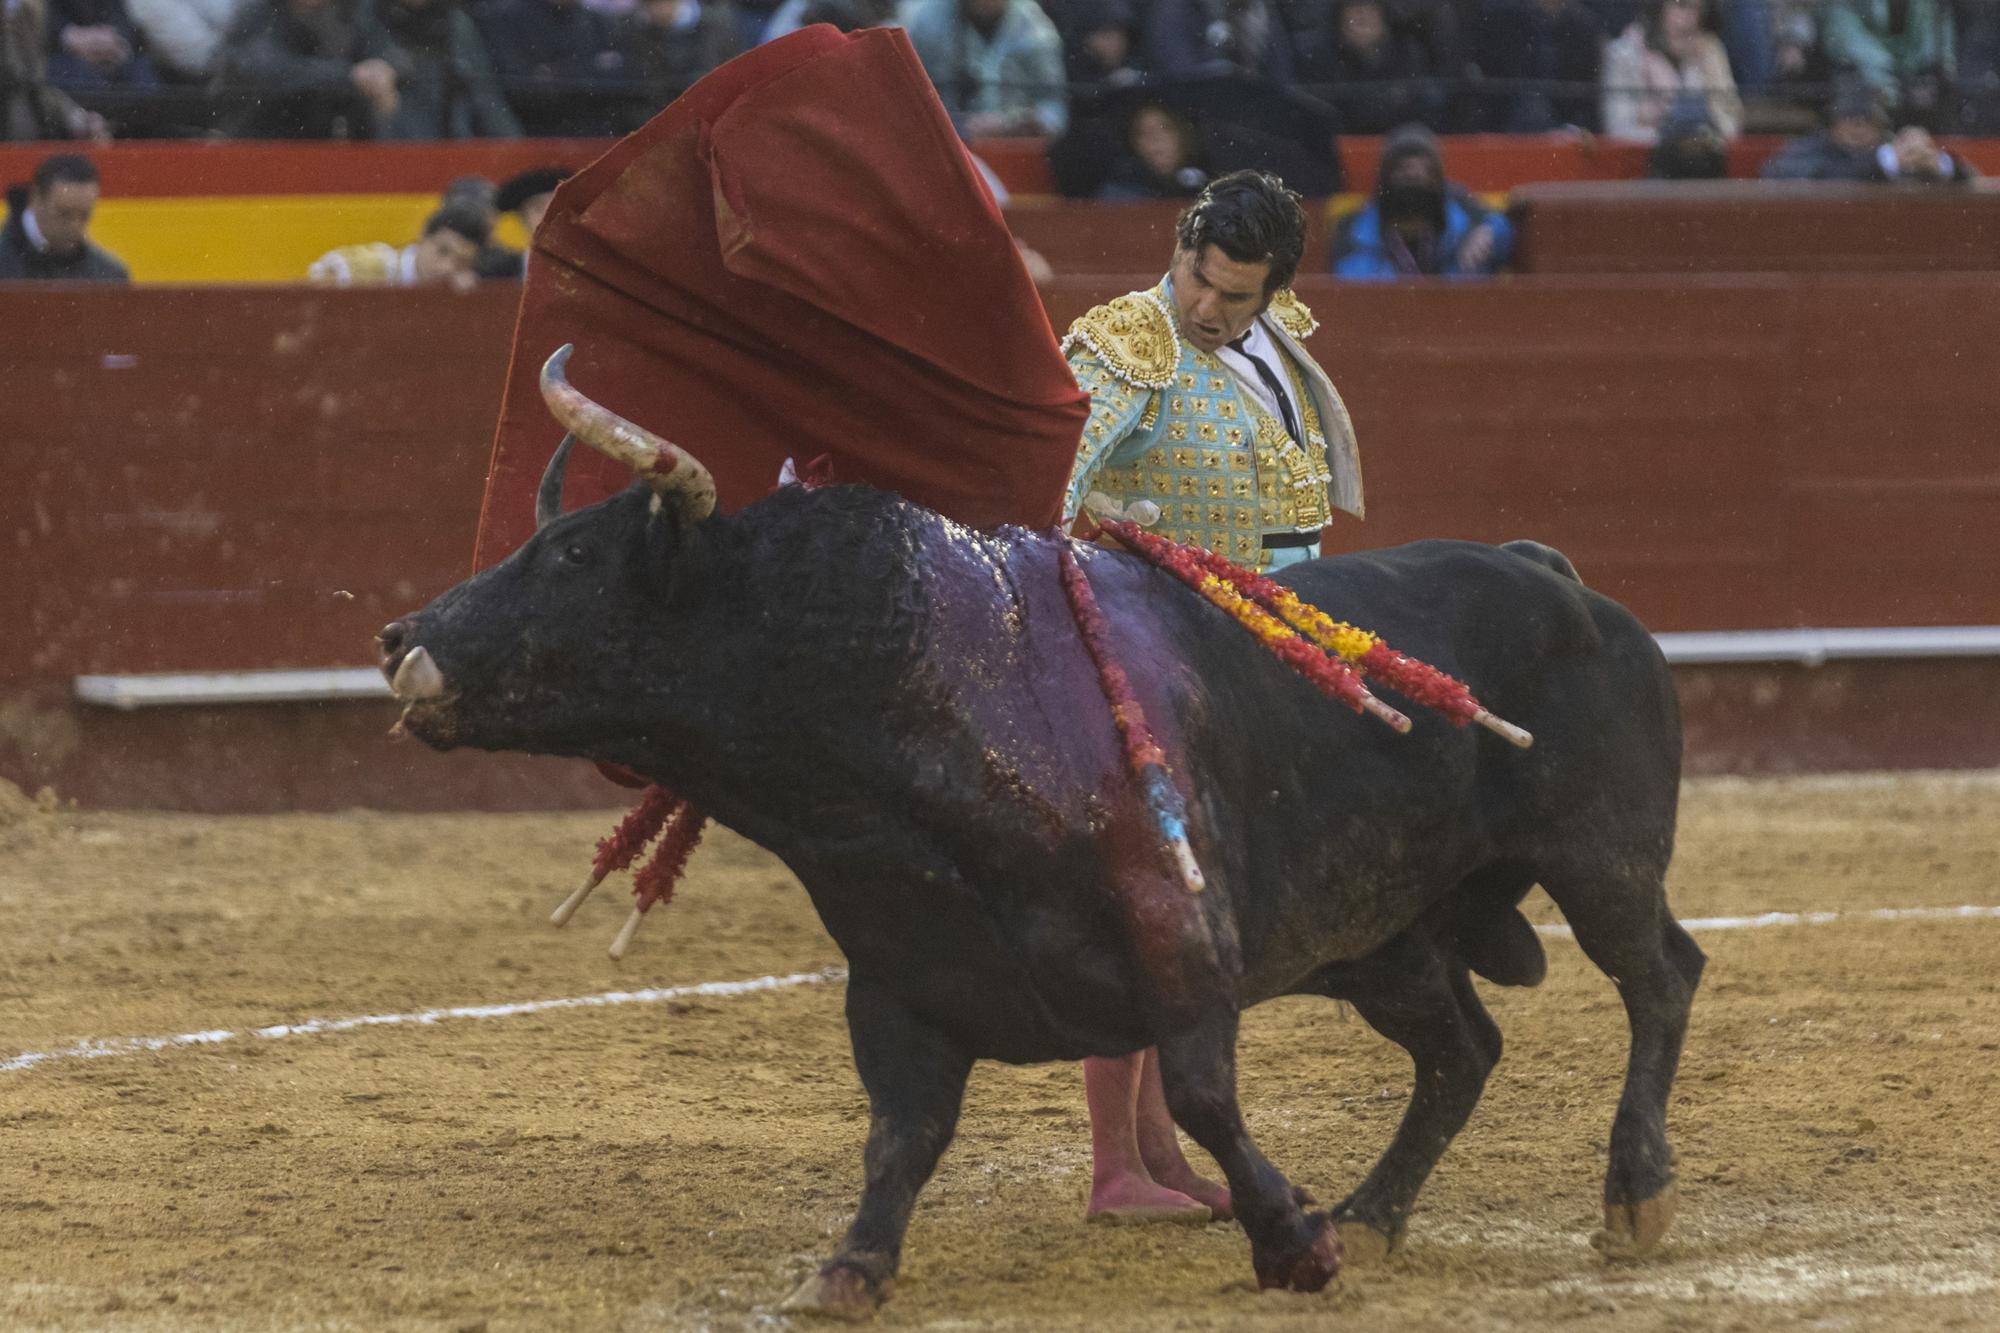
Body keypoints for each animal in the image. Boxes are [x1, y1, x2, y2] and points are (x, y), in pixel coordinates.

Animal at [378, 456, 1704, 1304]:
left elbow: (1204, 1099)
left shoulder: (1187, 951)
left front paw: (1289, 1246)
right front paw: (847, 1269)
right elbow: (899, 1136)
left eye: (574, 552)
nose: (399, 636)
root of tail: (1553, 572)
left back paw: (1631, 1191)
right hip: (1383, 938)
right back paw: (1373, 1214)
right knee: (1460, 1049)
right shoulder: (898, 982)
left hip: (1597, 858)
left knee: (1657, 978)